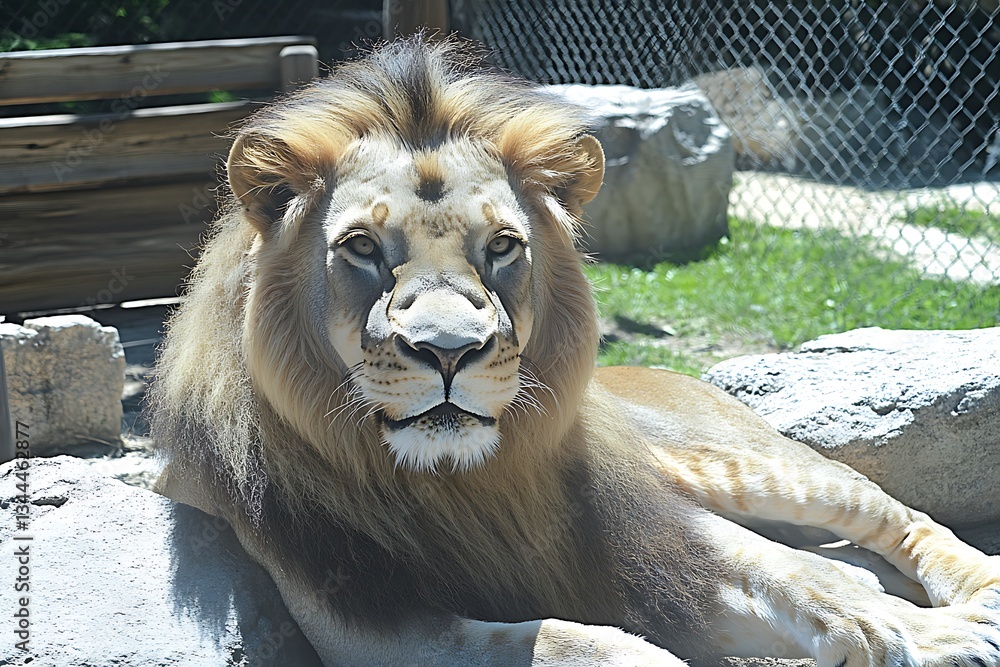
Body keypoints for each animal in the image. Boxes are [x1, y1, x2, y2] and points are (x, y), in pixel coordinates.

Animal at [151, 36, 1000, 666]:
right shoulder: (365, 625)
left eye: (501, 246)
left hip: (741, 464)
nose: (449, 352)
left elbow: (796, 575)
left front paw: (910, 631)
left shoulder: (639, 537)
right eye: (361, 247)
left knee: (896, 520)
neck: (460, 483)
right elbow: (577, 640)